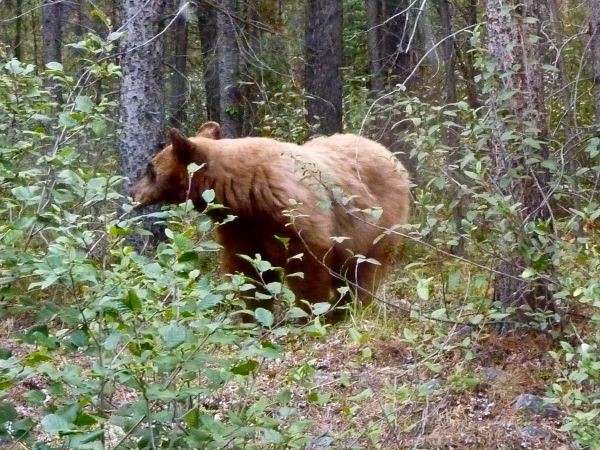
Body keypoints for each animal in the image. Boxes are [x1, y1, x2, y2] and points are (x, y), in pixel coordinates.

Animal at [133, 122, 410, 316]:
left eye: (150, 167)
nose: (134, 193)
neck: (242, 191)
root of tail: (392, 156)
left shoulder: (286, 208)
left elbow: (308, 259)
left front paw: (311, 313)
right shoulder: (239, 224)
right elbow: (246, 268)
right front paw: (250, 316)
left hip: (379, 223)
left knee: (364, 270)